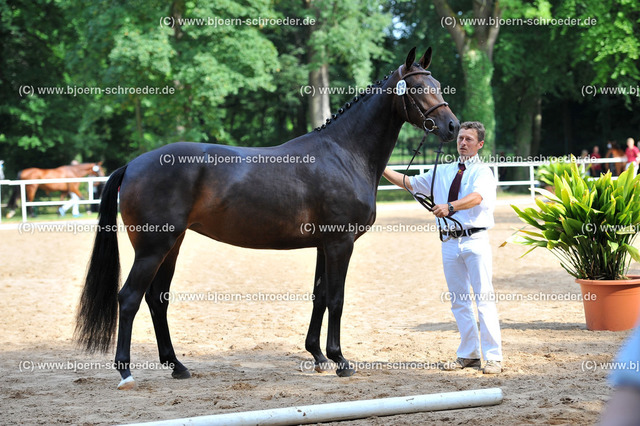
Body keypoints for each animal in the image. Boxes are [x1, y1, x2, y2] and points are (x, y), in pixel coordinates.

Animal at [76, 47, 460, 390]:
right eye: (418, 88)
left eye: (439, 84)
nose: (452, 126)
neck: (344, 153)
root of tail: (133, 164)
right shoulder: (340, 243)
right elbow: (336, 299)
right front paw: (340, 361)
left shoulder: (323, 245)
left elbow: (319, 296)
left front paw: (317, 356)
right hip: (154, 248)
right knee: (129, 298)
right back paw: (126, 372)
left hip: (172, 245)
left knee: (157, 300)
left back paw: (177, 366)